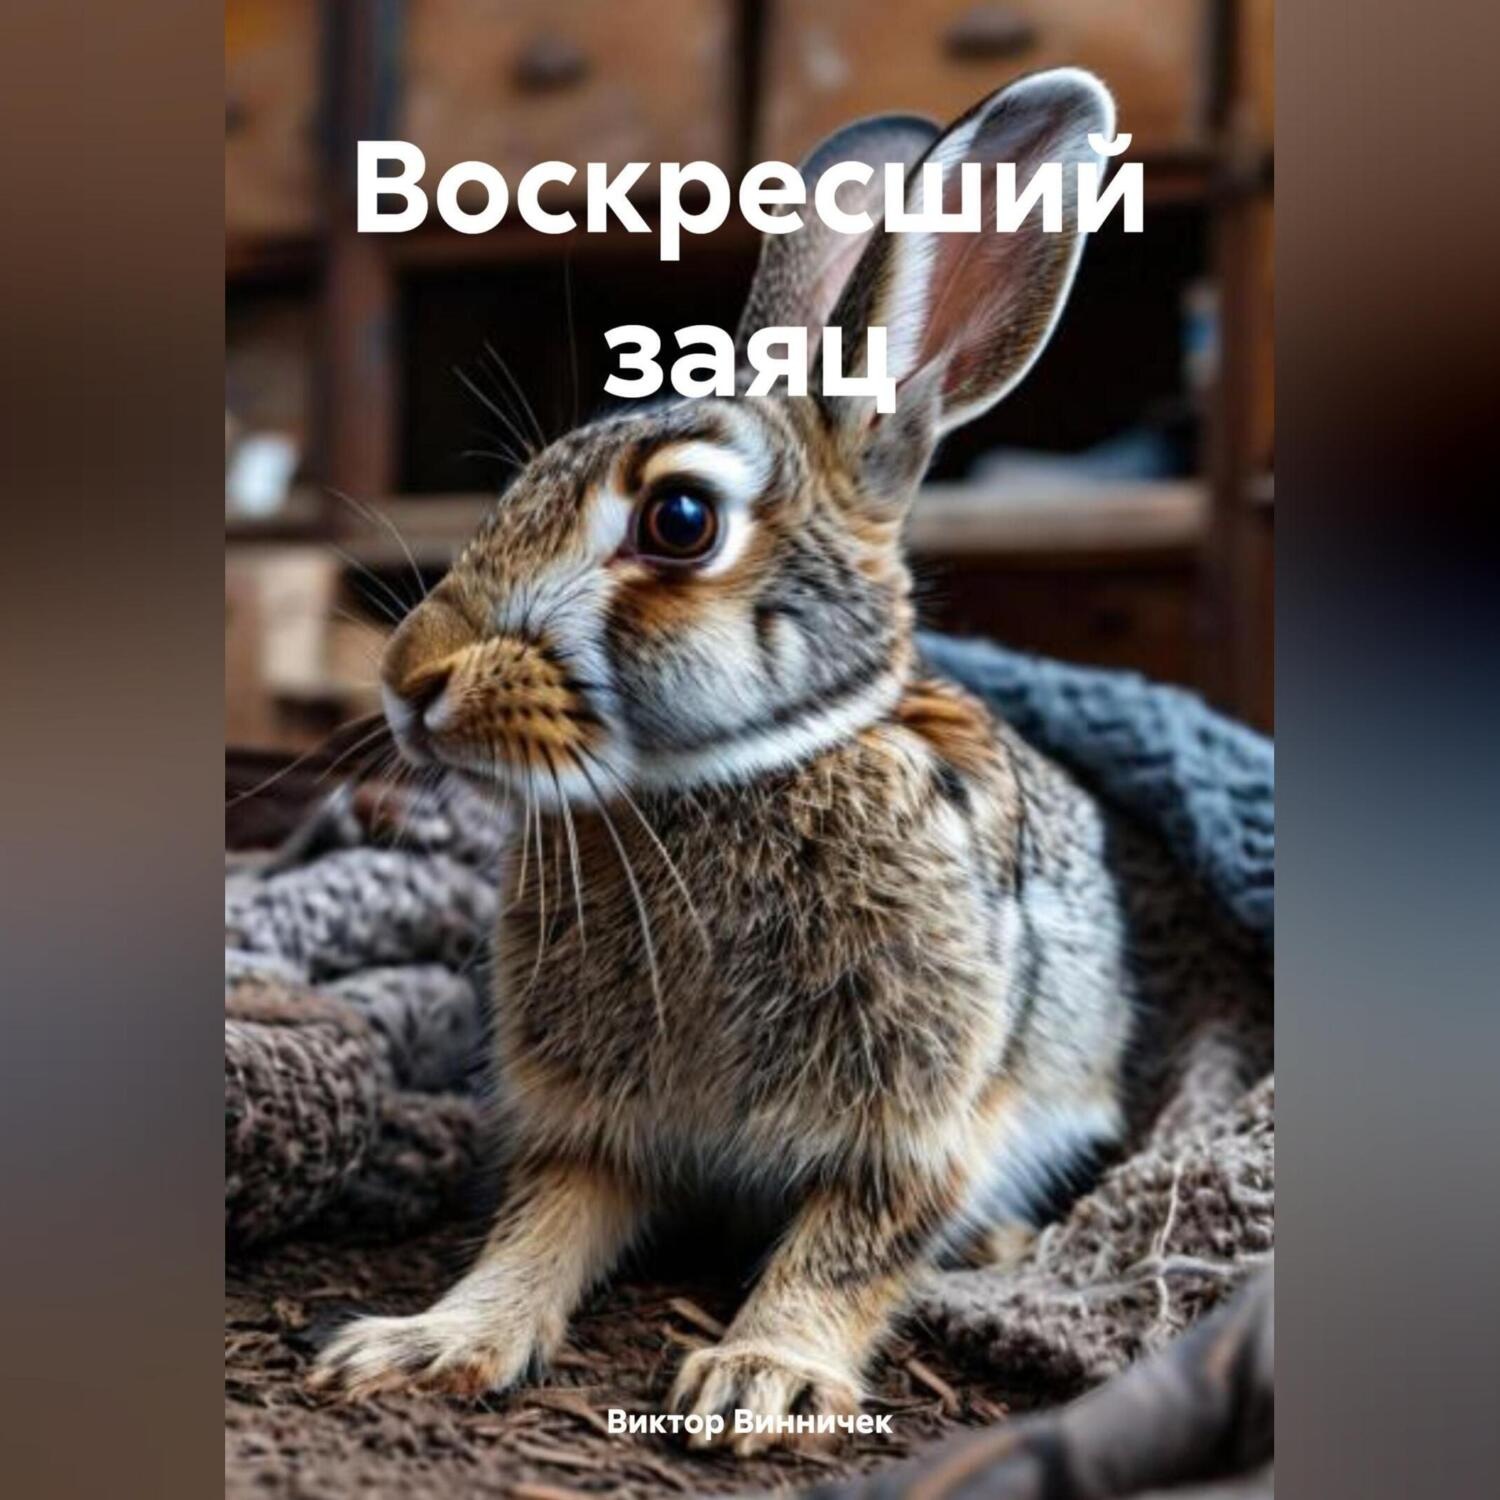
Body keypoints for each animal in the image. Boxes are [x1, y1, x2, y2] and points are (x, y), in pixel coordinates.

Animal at [311, 69, 1135, 1453]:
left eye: (680, 520)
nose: (410, 678)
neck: (717, 783)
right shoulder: (595, 1120)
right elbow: (539, 1227)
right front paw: (428, 1345)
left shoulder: (919, 1118)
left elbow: (851, 1247)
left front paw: (763, 1382)